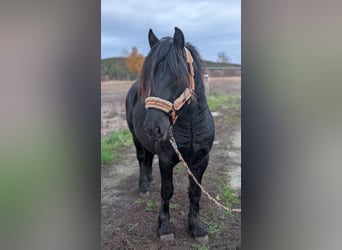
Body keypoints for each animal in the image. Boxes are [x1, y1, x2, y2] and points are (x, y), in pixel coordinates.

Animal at [125, 26, 215, 241]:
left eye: (176, 75)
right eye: (148, 77)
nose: (153, 127)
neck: (190, 124)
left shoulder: (201, 161)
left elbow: (195, 192)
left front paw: (196, 227)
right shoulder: (166, 159)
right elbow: (167, 191)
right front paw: (165, 226)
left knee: (149, 158)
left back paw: (150, 180)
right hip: (136, 138)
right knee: (142, 158)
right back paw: (144, 186)